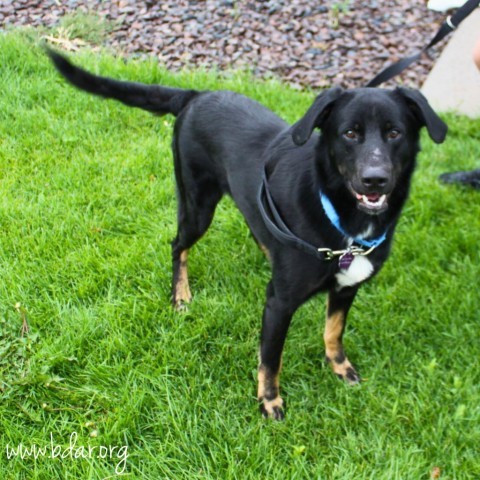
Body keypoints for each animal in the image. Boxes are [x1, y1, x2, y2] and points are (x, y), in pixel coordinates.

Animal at [47, 50, 446, 420]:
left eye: (395, 133)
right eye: (350, 133)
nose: (375, 179)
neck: (340, 216)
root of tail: (195, 95)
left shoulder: (347, 288)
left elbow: (333, 331)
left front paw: (339, 366)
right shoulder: (279, 303)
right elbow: (271, 358)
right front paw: (269, 401)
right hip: (197, 204)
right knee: (178, 245)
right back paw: (181, 295)